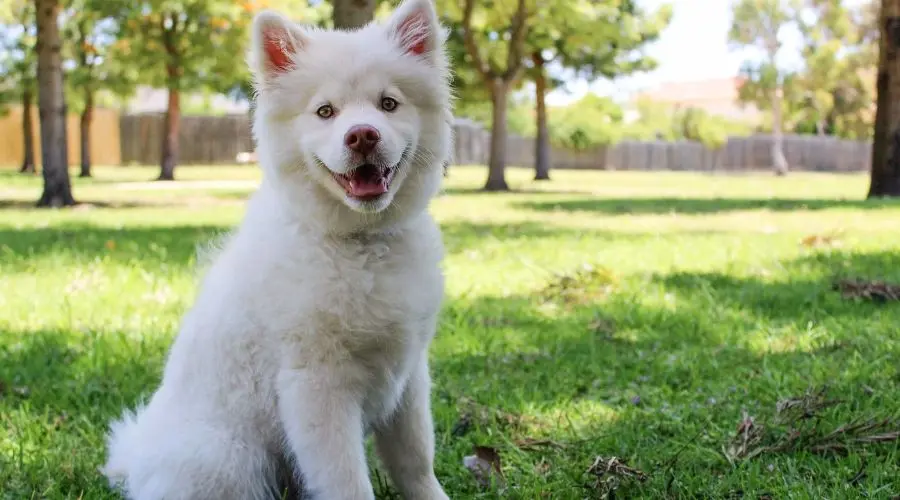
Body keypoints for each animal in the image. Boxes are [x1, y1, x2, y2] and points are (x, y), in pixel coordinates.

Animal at [102, 0, 454, 500]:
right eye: (325, 111)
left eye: (388, 103)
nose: (362, 135)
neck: (360, 244)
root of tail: (136, 460)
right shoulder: (317, 384)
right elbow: (348, 480)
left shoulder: (408, 376)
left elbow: (416, 461)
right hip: (228, 460)